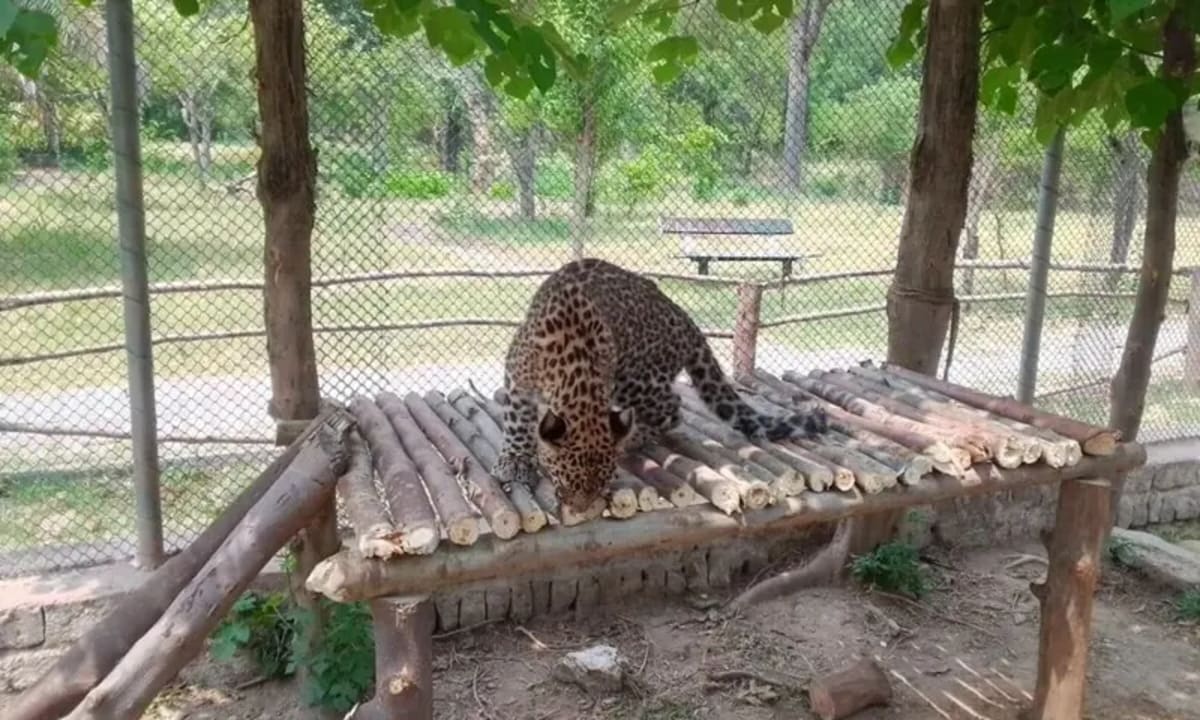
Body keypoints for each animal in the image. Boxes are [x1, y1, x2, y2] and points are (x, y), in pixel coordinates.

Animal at [491, 257, 828, 515]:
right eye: (565, 482)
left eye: (602, 484)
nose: (581, 511)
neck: (573, 367)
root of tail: (686, 320)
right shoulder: (517, 377)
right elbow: (517, 421)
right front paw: (516, 460)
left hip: (634, 379)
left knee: (672, 408)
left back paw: (633, 437)